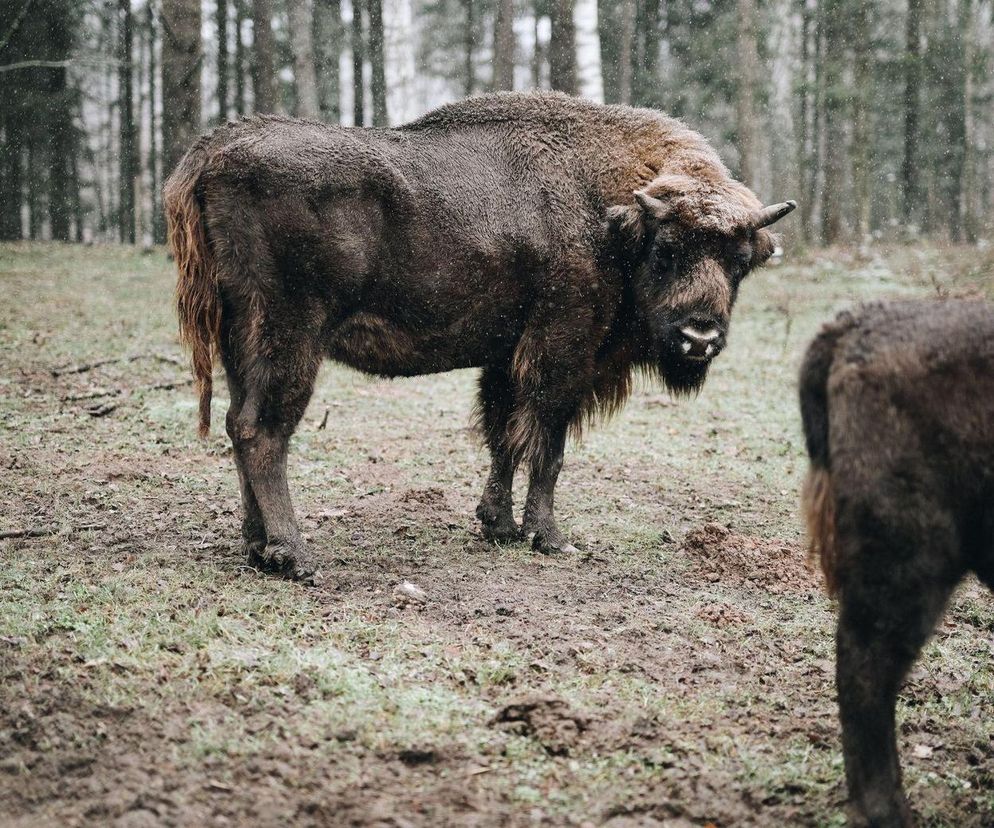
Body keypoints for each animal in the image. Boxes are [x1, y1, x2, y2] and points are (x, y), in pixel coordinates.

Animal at [167, 92, 796, 584]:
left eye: (739, 261)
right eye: (667, 250)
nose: (700, 335)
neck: (614, 214)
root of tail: (214, 150)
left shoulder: (505, 357)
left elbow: (503, 436)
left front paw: (498, 525)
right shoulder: (561, 354)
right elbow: (546, 445)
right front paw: (549, 536)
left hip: (240, 339)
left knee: (237, 423)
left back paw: (257, 547)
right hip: (290, 336)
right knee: (263, 432)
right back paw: (295, 556)